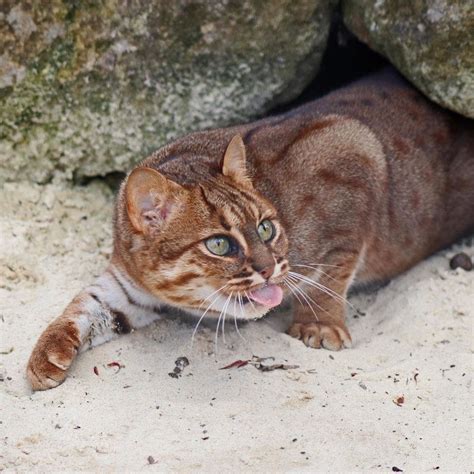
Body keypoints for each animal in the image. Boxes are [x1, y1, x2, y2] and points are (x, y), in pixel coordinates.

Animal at [27, 69, 472, 388]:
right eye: (220, 245)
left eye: (267, 229)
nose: (271, 268)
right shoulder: (127, 285)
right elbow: (83, 305)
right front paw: (45, 352)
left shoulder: (356, 148)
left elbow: (331, 272)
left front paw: (319, 324)